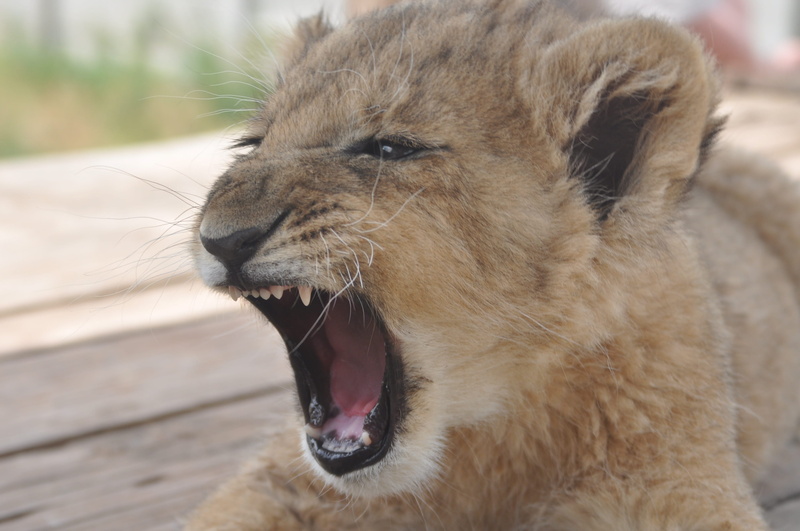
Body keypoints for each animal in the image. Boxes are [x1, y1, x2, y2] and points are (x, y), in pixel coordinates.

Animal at [186, 0, 800, 529]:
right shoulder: (285, 484)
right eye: (252, 144)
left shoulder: (676, 485)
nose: (224, 240)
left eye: (389, 148)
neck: (483, 429)